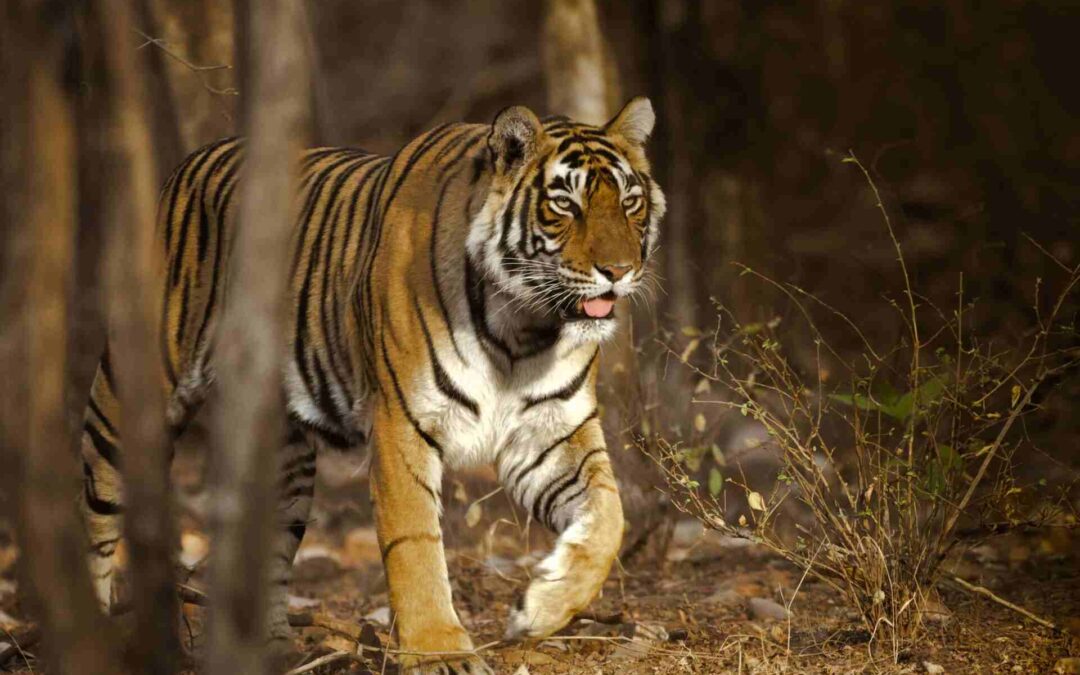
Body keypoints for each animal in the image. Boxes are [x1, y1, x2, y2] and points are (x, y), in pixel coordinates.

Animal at [78, 96, 664, 673]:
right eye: (565, 204)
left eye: (630, 201)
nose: (619, 271)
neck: (523, 328)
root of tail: (190, 161)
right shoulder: (403, 423)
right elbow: (415, 542)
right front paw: (437, 651)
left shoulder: (551, 434)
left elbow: (609, 517)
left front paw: (542, 607)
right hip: (130, 399)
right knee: (95, 518)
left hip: (285, 458)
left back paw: (275, 651)